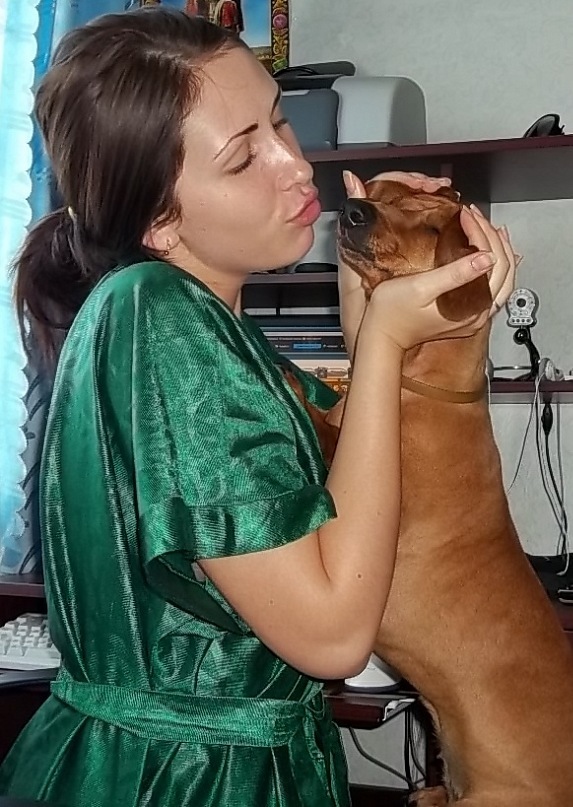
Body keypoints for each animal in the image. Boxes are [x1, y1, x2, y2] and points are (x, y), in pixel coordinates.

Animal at [285, 179, 573, 806]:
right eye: (386, 196)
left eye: (432, 227)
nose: (351, 209)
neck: (414, 384)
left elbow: (319, 424)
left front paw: (285, 373)